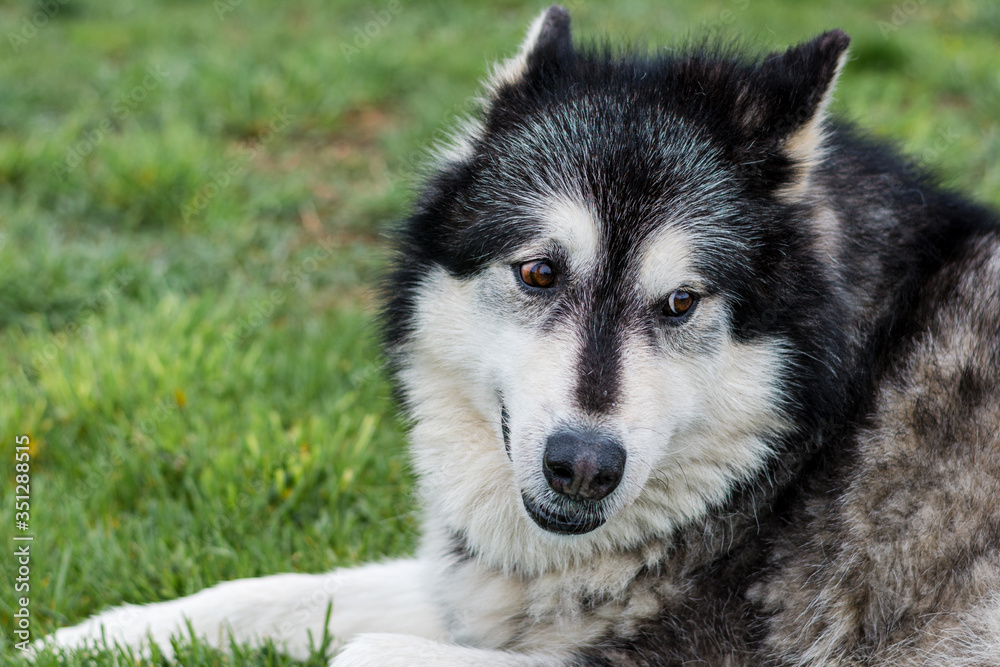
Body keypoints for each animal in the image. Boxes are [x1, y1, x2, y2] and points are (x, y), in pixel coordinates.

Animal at [45, 6, 1000, 667]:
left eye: (680, 303)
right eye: (540, 272)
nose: (583, 464)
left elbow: (357, 648)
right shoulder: (476, 593)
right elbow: (277, 591)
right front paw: (92, 634)